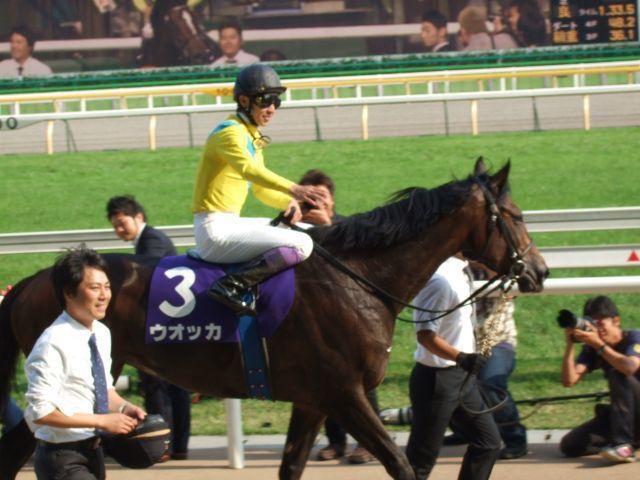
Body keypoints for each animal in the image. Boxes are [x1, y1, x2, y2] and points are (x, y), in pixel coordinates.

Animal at [0, 159, 548, 480]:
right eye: (516, 215)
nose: (539, 271)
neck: (359, 279)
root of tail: (31, 281)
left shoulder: (313, 400)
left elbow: (291, 468)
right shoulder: (344, 394)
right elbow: (401, 465)